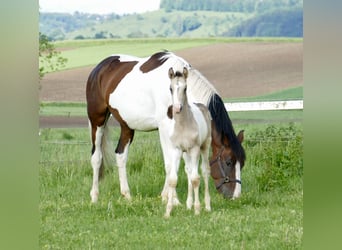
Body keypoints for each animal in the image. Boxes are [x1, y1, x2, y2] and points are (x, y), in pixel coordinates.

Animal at [86, 50, 246, 203]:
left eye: (242, 163)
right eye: (228, 162)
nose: (236, 196)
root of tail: (99, 68)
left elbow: (183, 164)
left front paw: (172, 197)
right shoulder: (164, 128)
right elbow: (170, 163)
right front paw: (171, 199)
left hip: (127, 125)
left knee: (120, 155)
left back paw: (127, 195)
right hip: (97, 120)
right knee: (96, 157)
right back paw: (94, 197)